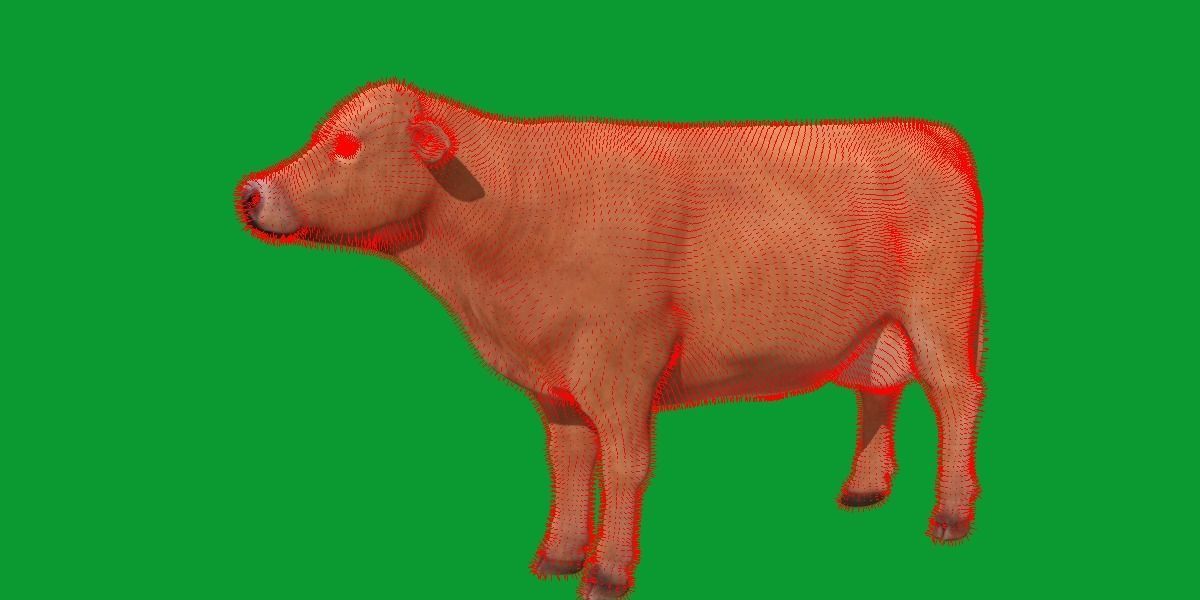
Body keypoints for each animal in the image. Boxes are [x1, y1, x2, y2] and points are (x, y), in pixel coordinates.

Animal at [235, 80, 986, 599]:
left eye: (348, 146)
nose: (251, 191)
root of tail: (921, 130)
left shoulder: (623, 364)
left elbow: (625, 466)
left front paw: (608, 572)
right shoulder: (557, 383)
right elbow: (568, 463)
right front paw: (558, 555)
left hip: (940, 310)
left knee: (956, 396)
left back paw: (950, 514)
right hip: (879, 326)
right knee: (879, 387)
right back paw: (863, 489)